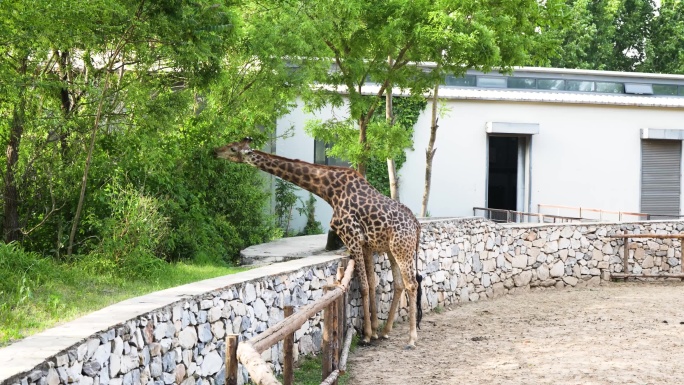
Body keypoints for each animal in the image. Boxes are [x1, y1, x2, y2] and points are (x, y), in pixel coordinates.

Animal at [214, 137, 422, 348]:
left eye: (233, 148)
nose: (215, 152)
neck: (329, 191)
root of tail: (416, 224)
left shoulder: (352, 238)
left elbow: (364, 286)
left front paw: (366, 335)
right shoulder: (366, 245)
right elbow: (371, 284)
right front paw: (373, 331)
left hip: (402, 249)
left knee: (412, 284)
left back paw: (412, 339)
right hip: (392, 249)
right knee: (399, 284)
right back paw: (387, 331)